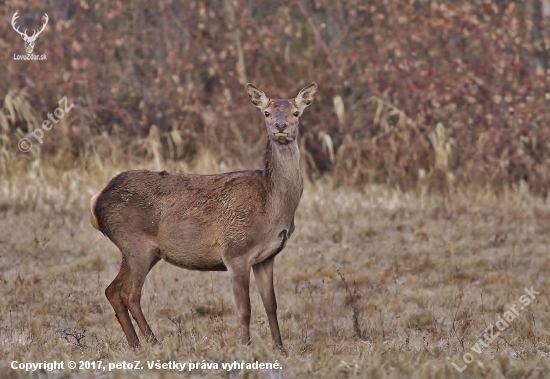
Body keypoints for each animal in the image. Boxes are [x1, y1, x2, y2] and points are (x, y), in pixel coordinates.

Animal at [91, 81, 320, 352]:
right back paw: (154, 342)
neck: (272, 208)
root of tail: (97, 200)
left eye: (296, 112)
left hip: (139, 250)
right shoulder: (236, 252)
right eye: (266, 113)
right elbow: (245, 309)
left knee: (112, 290)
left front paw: (280, 349)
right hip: (136, 244)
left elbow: (271, 305)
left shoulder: (266, 257)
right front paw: (245, 348)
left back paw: (136, 345)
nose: (281, 126)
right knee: (129, 293)